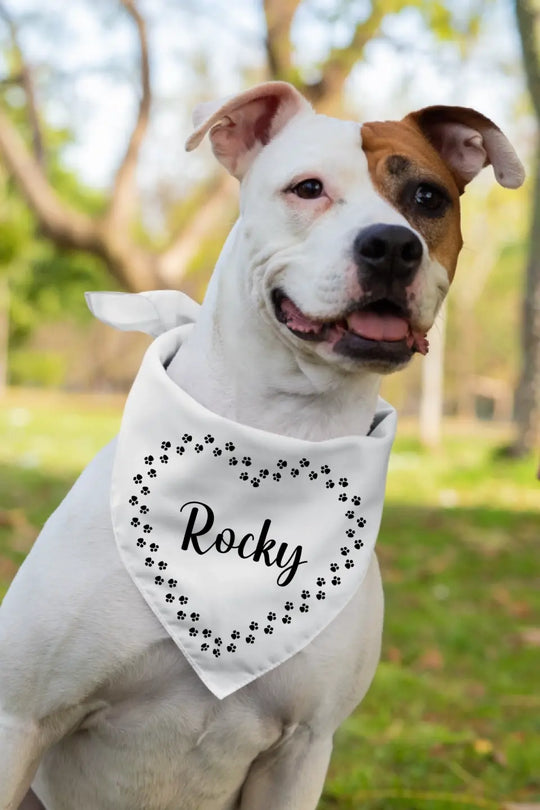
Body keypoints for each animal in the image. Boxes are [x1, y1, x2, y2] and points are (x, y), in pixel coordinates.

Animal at [0, 83, 524, 808]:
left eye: (427, 197)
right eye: (308, 188)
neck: (279, 436)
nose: (393, 245)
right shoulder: (22, 718)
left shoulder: (302, 748)